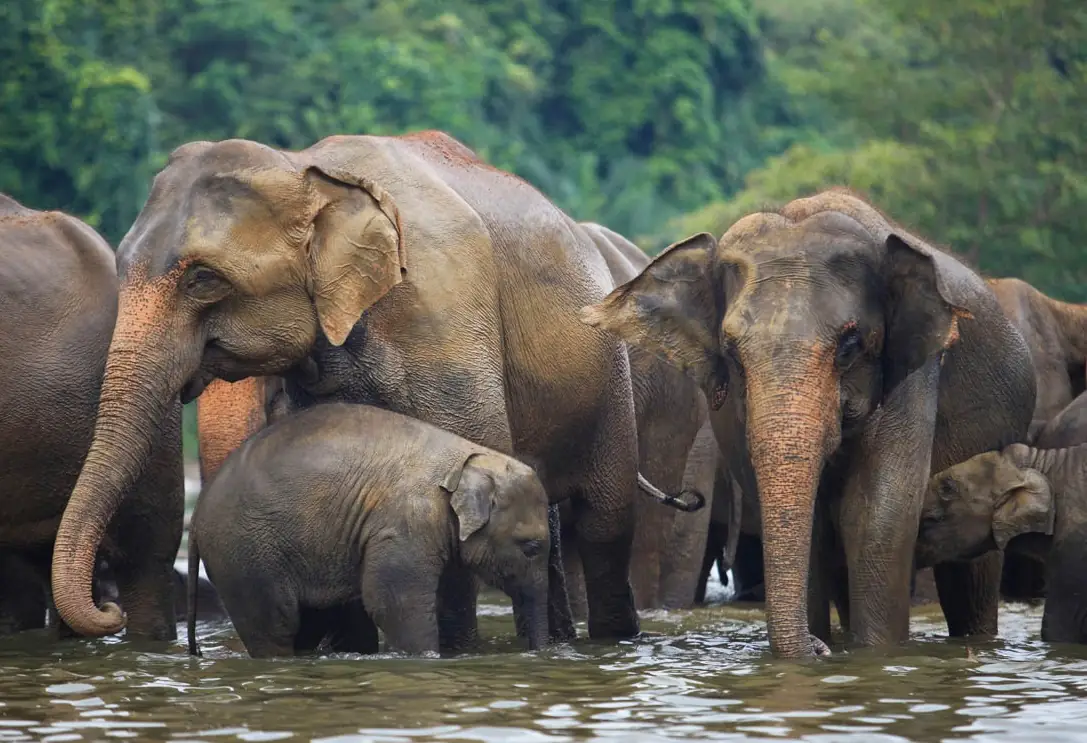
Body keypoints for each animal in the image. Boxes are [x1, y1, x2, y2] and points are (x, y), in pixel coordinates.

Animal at [188, 402, 551, 658]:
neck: (468, 459)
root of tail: (196, 516)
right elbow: (393, 603)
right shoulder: (405, 524)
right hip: (244, 555)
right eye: (531, 547)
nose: (536, 654)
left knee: (308, 624)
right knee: (275, 628)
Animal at [581, 189, 1036, 657]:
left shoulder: (914, 374)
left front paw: (874, 655)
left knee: (971, 578)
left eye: (850, 346)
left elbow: (877, 518)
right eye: (732, 353)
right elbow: (815, 529)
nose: (818, 648)